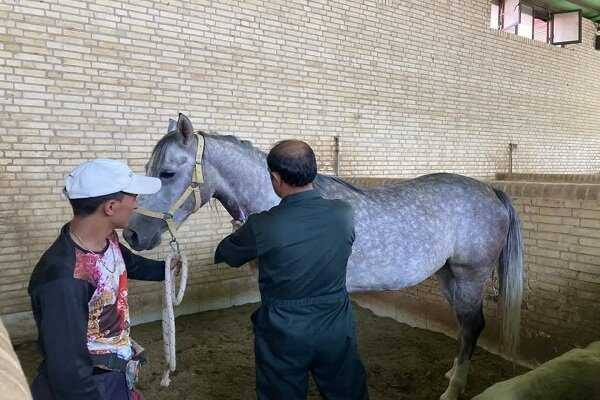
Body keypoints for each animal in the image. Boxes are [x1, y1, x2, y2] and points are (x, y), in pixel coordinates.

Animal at [125, 113, 520, 400]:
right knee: (465, 329)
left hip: (470, 275)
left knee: (472, 326)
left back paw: (453, 390)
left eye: (167, 173)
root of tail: (492, 191)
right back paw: (453, 371)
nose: (132, 234)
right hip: (448, 275)